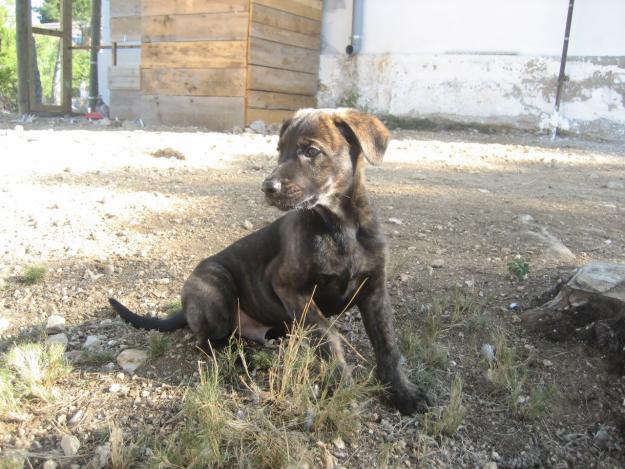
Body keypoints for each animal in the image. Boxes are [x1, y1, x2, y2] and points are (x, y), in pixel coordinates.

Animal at [108, 107, 428, 414]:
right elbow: (328, 334)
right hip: (216, 283)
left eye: (311, 151)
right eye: (279, 150)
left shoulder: (375, 290)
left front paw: (403, 392)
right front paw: (343, 389)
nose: (267, 187)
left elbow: (388, 345)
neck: (339, 228)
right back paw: (240, 359)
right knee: (207, 342)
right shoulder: (288, 287)